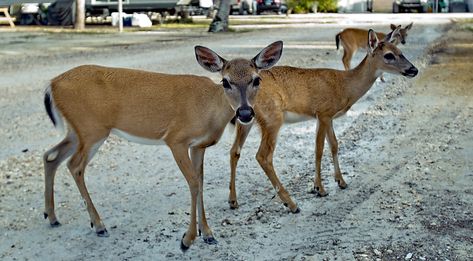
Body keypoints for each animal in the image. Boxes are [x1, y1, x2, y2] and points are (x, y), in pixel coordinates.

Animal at [42, 41, 282, 250]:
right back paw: (99, 225)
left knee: (51, 156)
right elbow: (193, 183)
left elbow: (200, 181)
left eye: (256, 80)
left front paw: (207, 234)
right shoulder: (176, 139)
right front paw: (188, 239)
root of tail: (51, 84)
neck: (209, 108)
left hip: (78, 131)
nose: (245, 113)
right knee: (74, 165)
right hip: (91, 129)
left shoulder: (198, 146)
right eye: (226, 81)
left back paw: (52, 217)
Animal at [228, 28, 416, 212]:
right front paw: (320, 189)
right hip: (272, 118)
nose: (414, 70)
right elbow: (319, 149)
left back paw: (233, 201)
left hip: (247, 120)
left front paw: (341, 181)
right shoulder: (323, 112)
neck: (345, 86)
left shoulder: (329, 116)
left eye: (400, 51)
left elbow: (334, 144)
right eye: (389, 55)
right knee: (263, 156)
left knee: (234, 151)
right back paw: (291, 204)